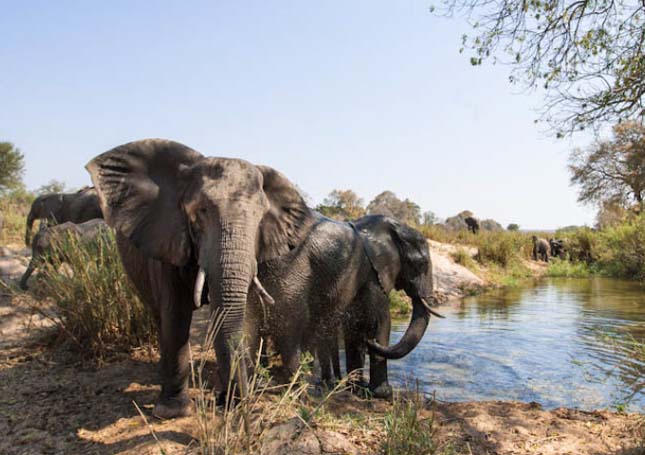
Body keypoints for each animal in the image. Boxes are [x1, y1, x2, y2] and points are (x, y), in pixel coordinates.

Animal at [86, 140, 314, 420]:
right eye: (200, 211)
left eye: (260, 217)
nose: (237, 402)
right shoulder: (169, 240)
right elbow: (176, 315)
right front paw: (172, 412)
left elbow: (238, 314)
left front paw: (232, 397)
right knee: (158, 314)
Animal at [254, 214, 436, 400]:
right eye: (421, 264)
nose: (369, 342)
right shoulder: (373, 275)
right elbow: (379, 321)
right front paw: (383, 393)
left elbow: (355, 326)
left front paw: (356, 388)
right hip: (288, 267)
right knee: (290, 322)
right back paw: (297, 388)